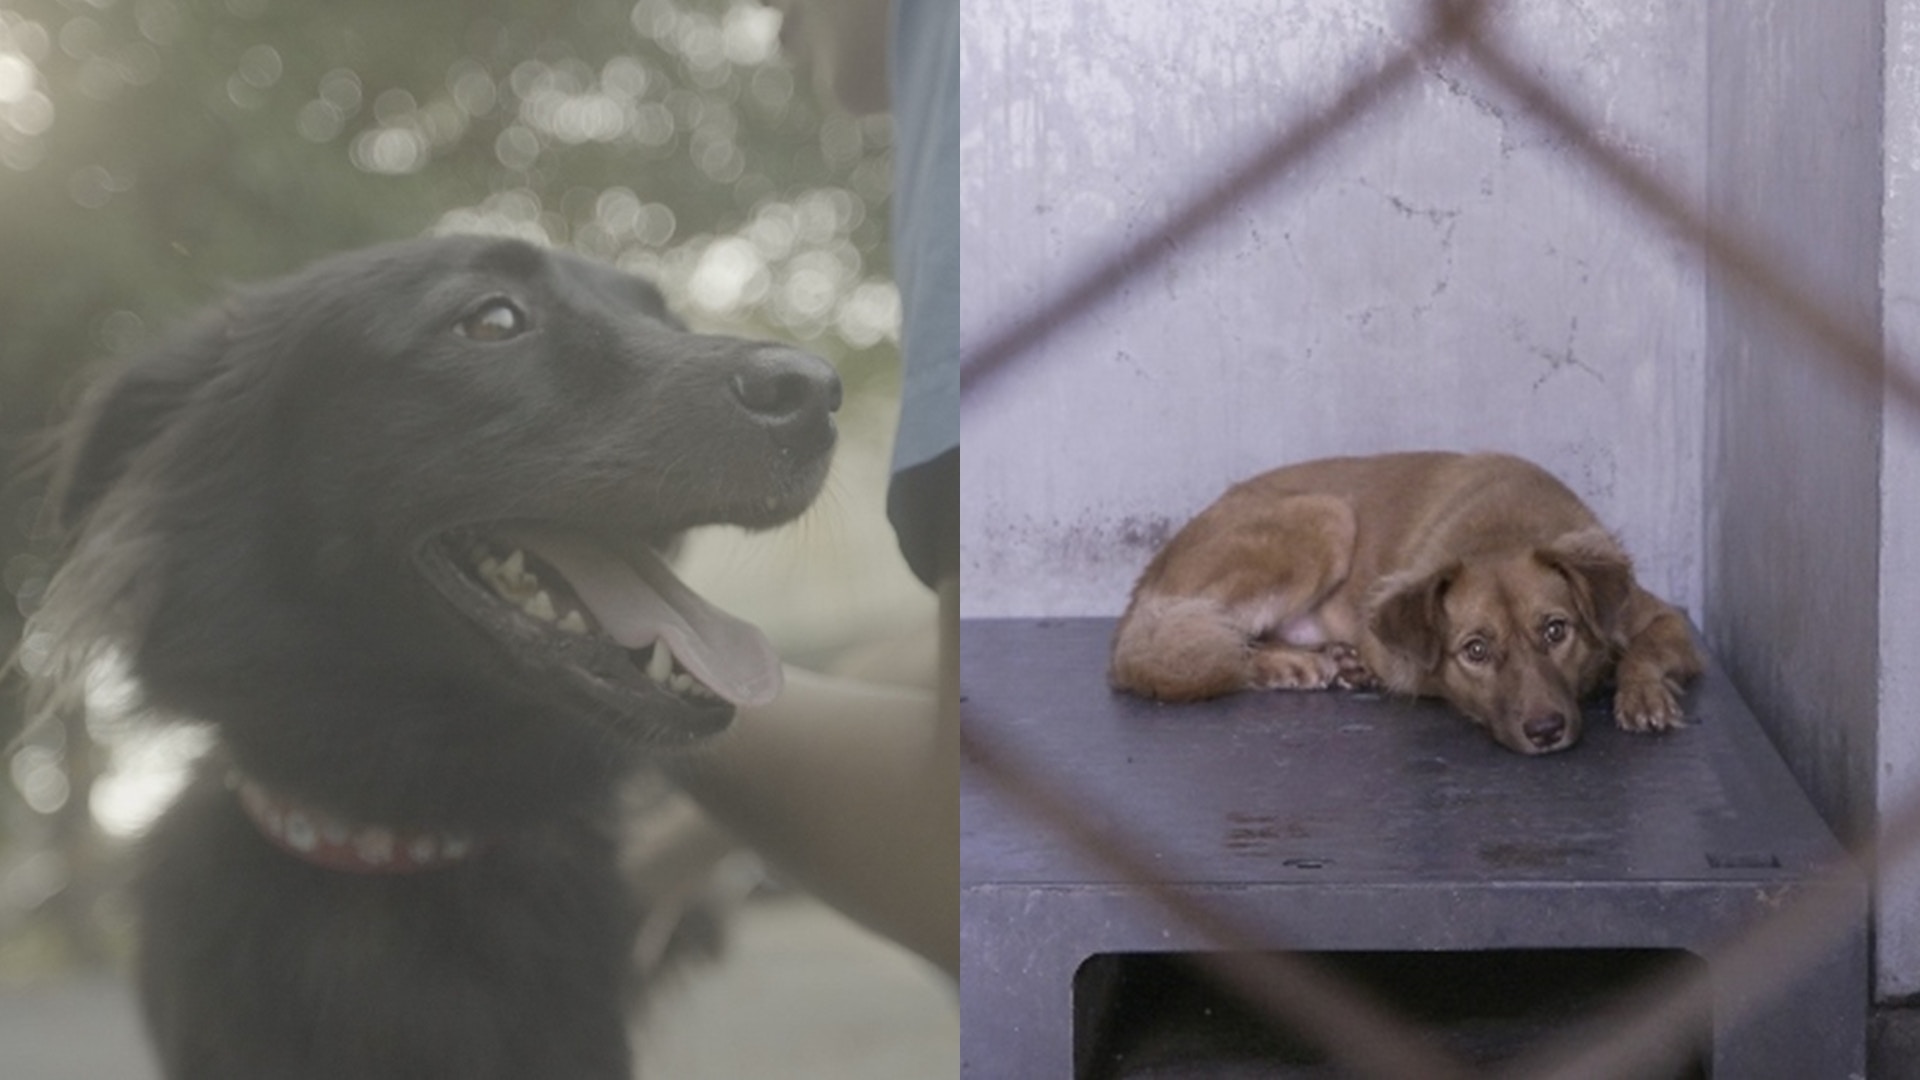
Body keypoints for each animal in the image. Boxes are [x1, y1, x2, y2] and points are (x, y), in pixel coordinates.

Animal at [1113, 449, 1697, 753]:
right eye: (1476, 651)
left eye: (1556, 631)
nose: (1546, 732)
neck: (1503, 529)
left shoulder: (1665, 620)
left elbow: (1644, 651)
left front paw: (1643, 693)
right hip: (1324, 515)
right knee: (1190, 648)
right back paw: (1296, 664)